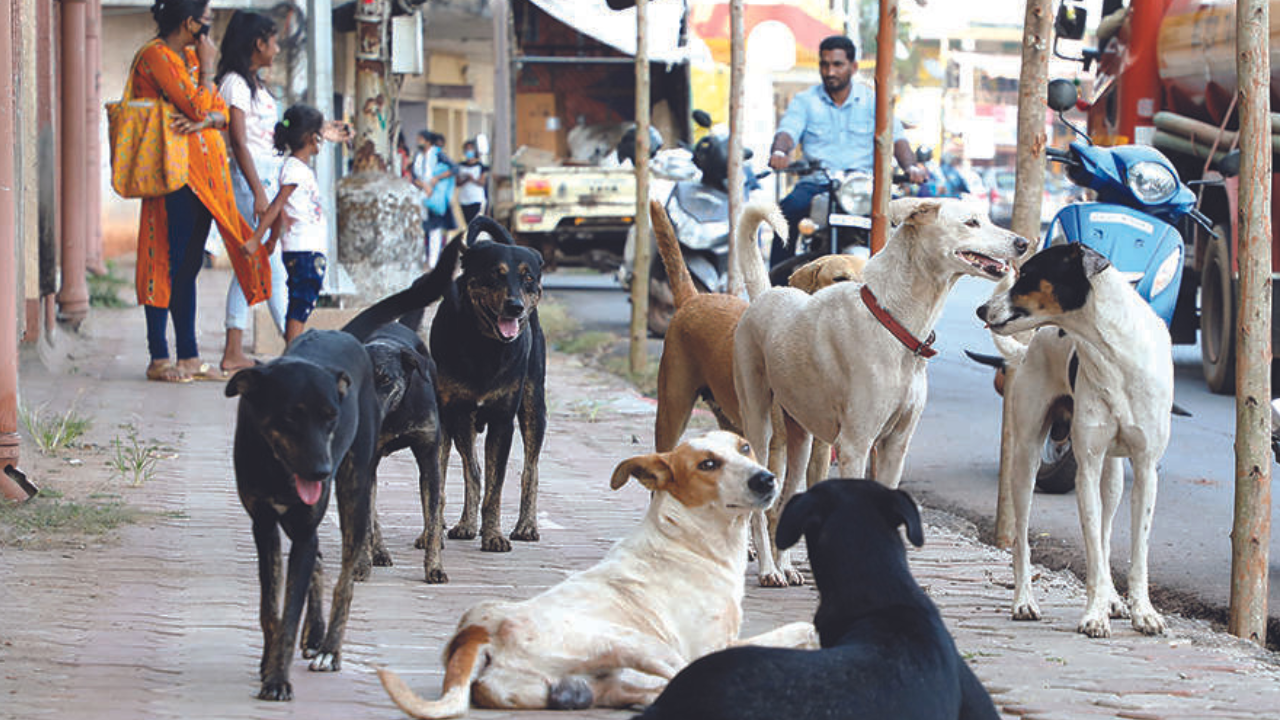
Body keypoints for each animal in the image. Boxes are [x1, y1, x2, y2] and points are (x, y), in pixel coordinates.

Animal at [225, 327, 378, 696]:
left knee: (345, 582)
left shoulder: (305, 531)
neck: (277, 468)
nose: (322, 472)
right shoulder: (264, 526)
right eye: (290, 416)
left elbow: (290, 613)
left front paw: (278, 679)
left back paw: (330, 650)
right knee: (319, 561)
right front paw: (268, 665)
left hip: (355, 490)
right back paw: (316, 635)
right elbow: (270, 609)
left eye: (332, 417)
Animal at [345, 235, 465, 584]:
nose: (365, 413)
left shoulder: (429, 456)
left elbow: (432, 516)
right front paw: (362, 564)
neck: (395, 414)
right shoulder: (366, 460)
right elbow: (367, 517)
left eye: (385, 379)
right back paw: (377, 552)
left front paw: (435, 567)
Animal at [378, 427, 819, 712]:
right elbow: (786, 633)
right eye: (708, 464)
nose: (766, 479)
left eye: (745, 447)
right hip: (639, 643)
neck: (690, 541)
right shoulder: (711, 648)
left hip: (595, 685)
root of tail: (474, 637)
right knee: (682, 678)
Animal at [977, 243, 1172, 635]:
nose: (980, 310)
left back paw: (1113, 599)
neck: (1117, 354)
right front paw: (1094, 614)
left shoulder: (1145, 469)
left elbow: (1136, 550)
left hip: (1113, 476)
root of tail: (1029, 348)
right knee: (1022, 539)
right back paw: (1024, 600)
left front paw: (1143, 611)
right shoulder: (1088, 467)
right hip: (1026, 459)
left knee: (1107, 531)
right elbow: (1093, 552)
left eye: (1028, 274)